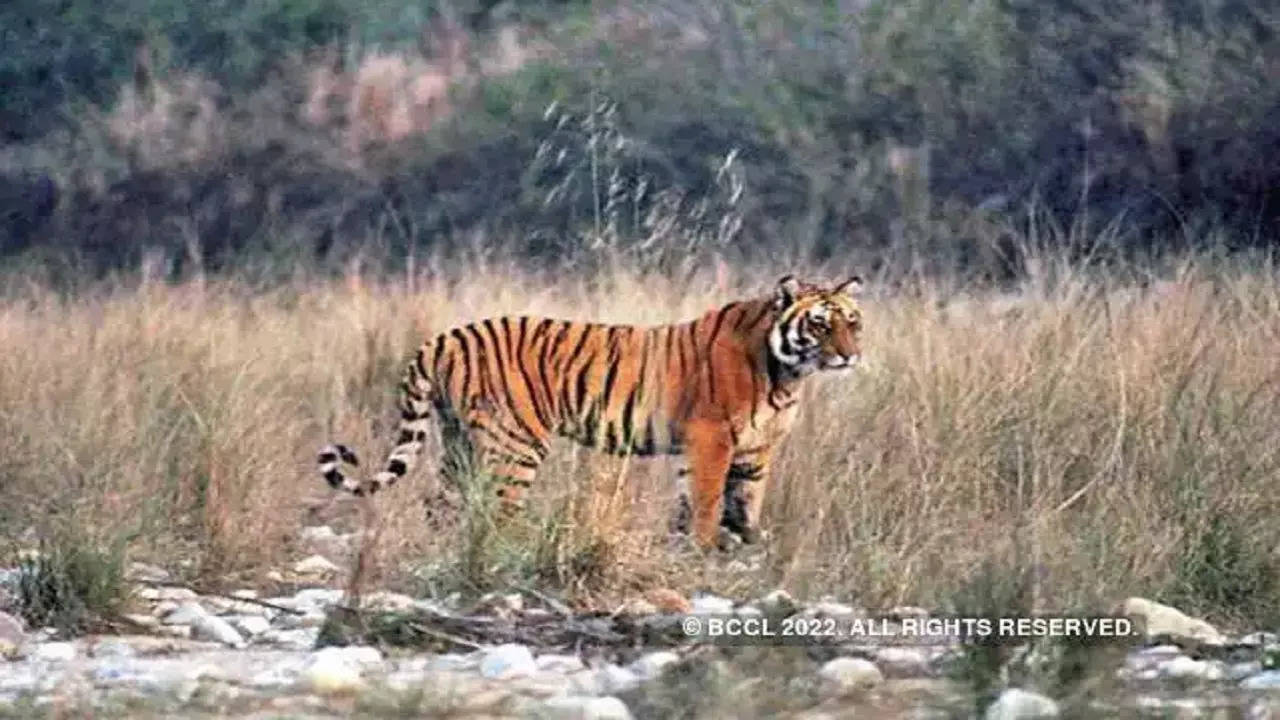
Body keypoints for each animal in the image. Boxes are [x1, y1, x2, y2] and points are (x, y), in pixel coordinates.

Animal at [314, 274, 865, 548]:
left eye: (852, 322)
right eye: (820, 325)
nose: (850, 355)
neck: (787, 374)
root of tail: (443, 337)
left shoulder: (753, 451)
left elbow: (741, 501)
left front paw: (742, 546)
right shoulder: (711, 438)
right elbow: (709, 502)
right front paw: (707, 549)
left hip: (460, 442)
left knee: (442, 504)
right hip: (515, 445)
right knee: (497, 509)